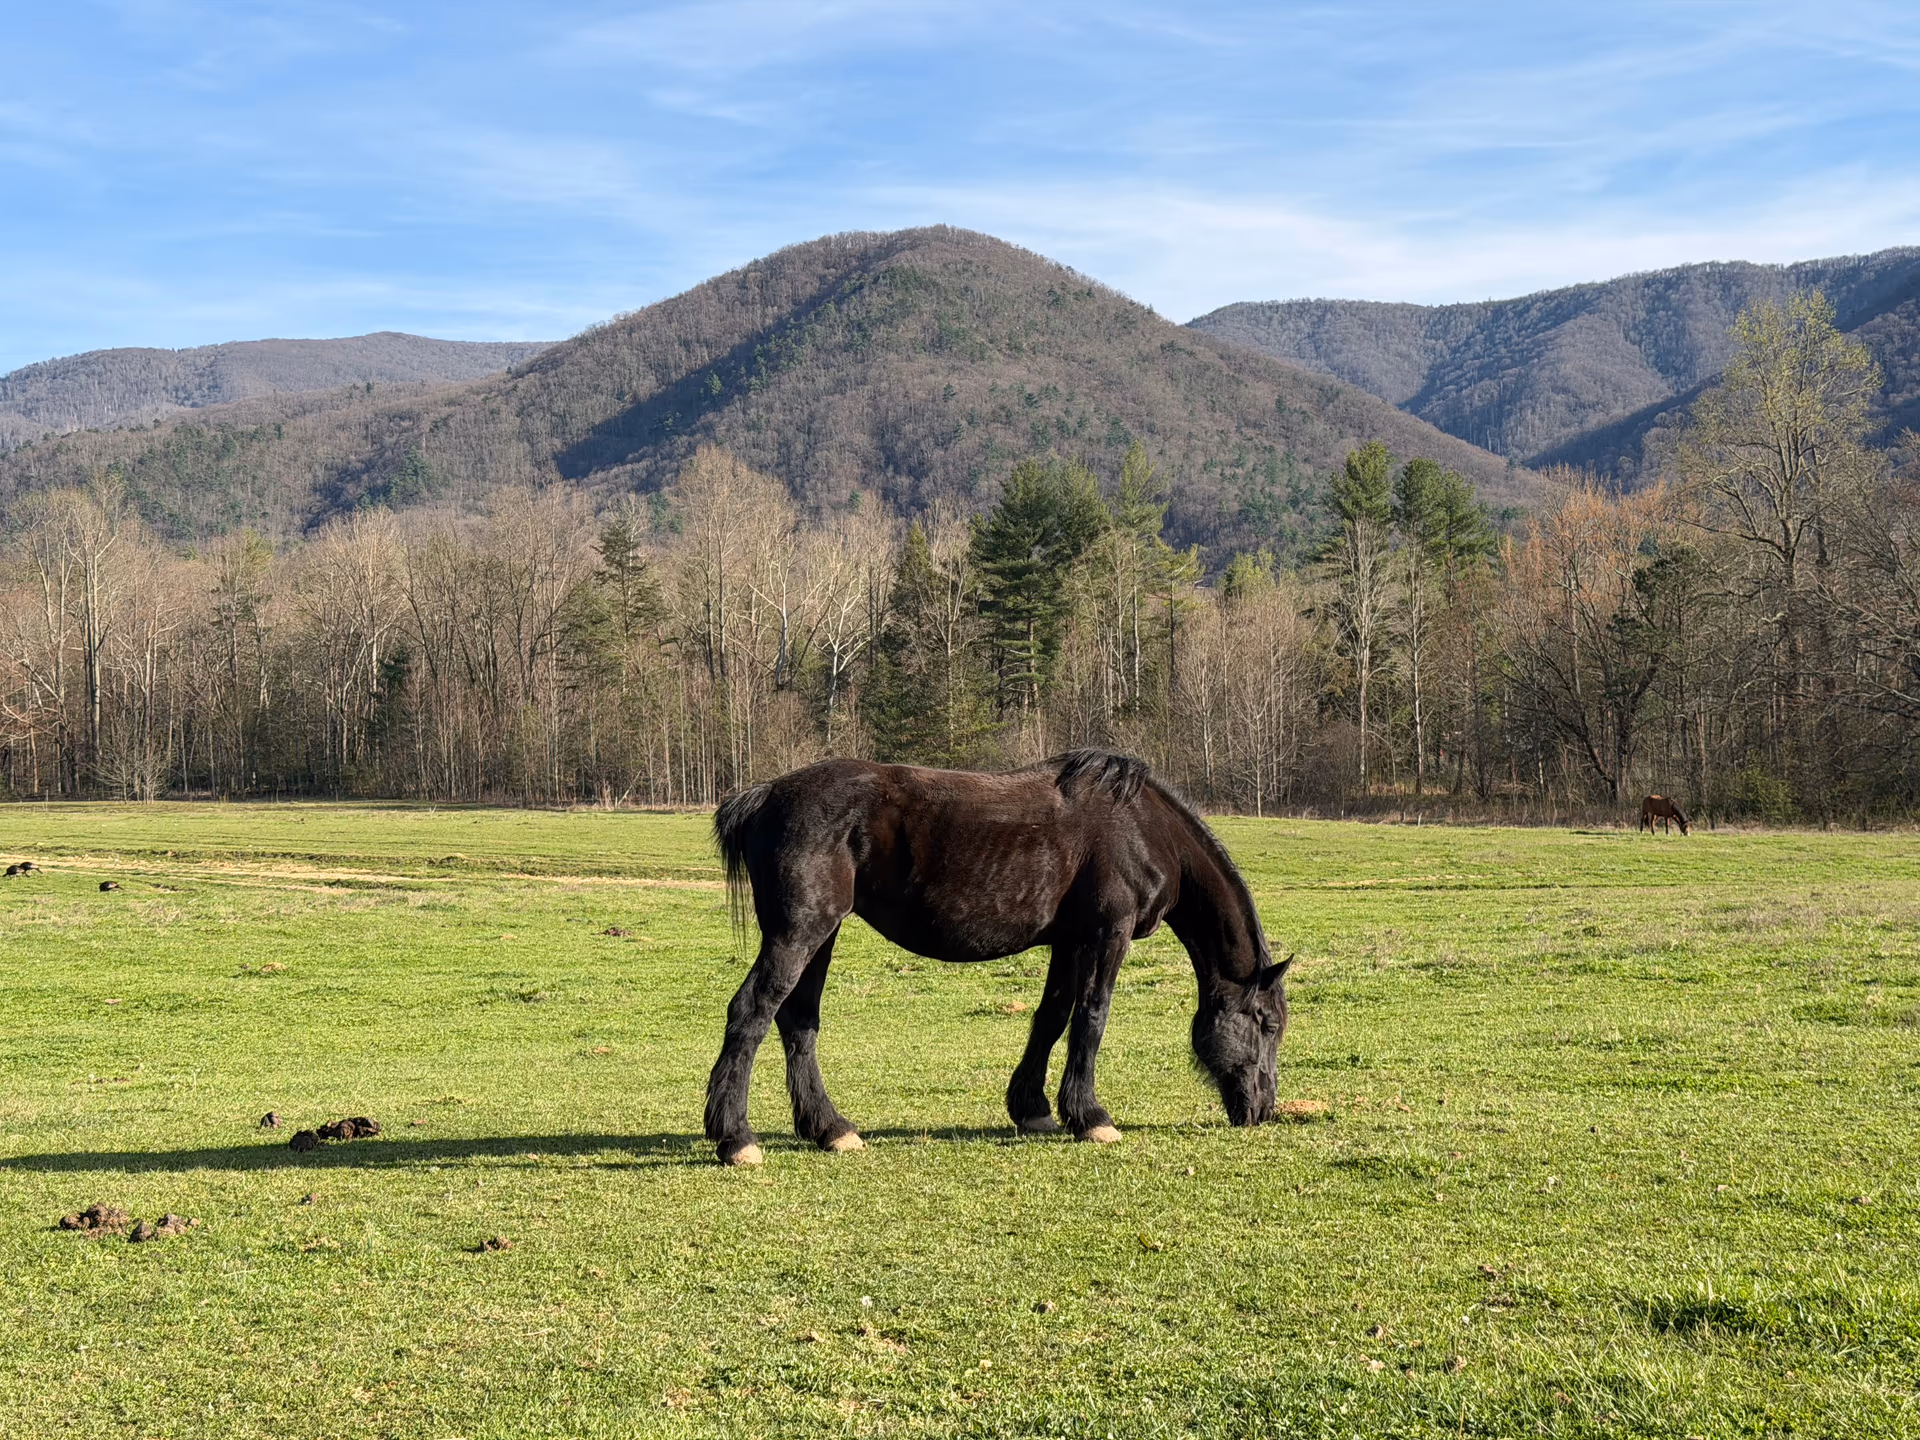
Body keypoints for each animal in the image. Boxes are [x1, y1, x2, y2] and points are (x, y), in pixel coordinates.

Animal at [703, 749, 1290, 1166]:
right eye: (1266, 1023)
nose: (1264, 1109)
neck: (1143, 829)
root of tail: (765, 795)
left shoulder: (1069, 941)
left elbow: (1052, 1018)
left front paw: (1034, 1109)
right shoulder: (1107, 935)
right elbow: (1091, 1018)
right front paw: (1091, 1117)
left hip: (820, 937)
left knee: (798, 1022)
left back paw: (830, 1129)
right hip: (799, 933)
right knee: (750, 1014)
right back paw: (736, 1138)